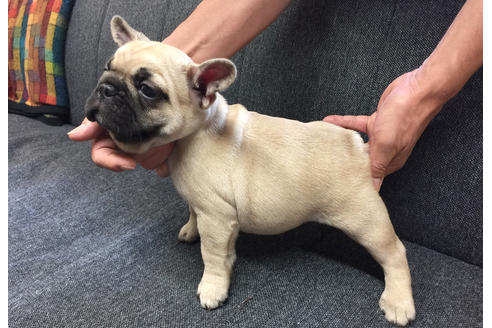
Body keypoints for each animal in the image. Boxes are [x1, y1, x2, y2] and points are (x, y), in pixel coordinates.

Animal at [85, 16, 416, 326]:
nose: (106, 87)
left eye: (147, 90)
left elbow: (213, 256)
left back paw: (398, 302)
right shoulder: (203, 205)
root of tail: (357, 147)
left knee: (395, 253)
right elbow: (195, 215)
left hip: (365, 219)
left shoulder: (217, 218)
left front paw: (213, 288)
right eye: (106, 67)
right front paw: (191, 230)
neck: (197, 132)